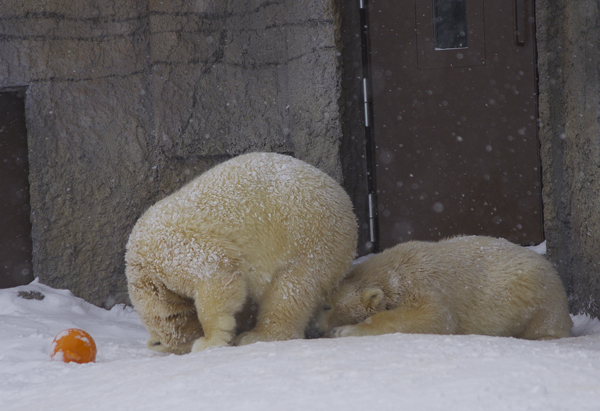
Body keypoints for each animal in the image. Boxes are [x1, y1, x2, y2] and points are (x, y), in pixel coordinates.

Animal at [125, 152, 356, 354]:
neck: (144, 271)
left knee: (291, 288)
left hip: (307, 236)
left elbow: (215, 273)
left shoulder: (173, 250)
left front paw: (209, 341)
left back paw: (258, 335)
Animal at [314, 237, 572, 340]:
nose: (312, 329)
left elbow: (431, 317)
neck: (394, 270)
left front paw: (341, 331)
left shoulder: (423, 282)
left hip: (536, 294)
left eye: (327, 306)